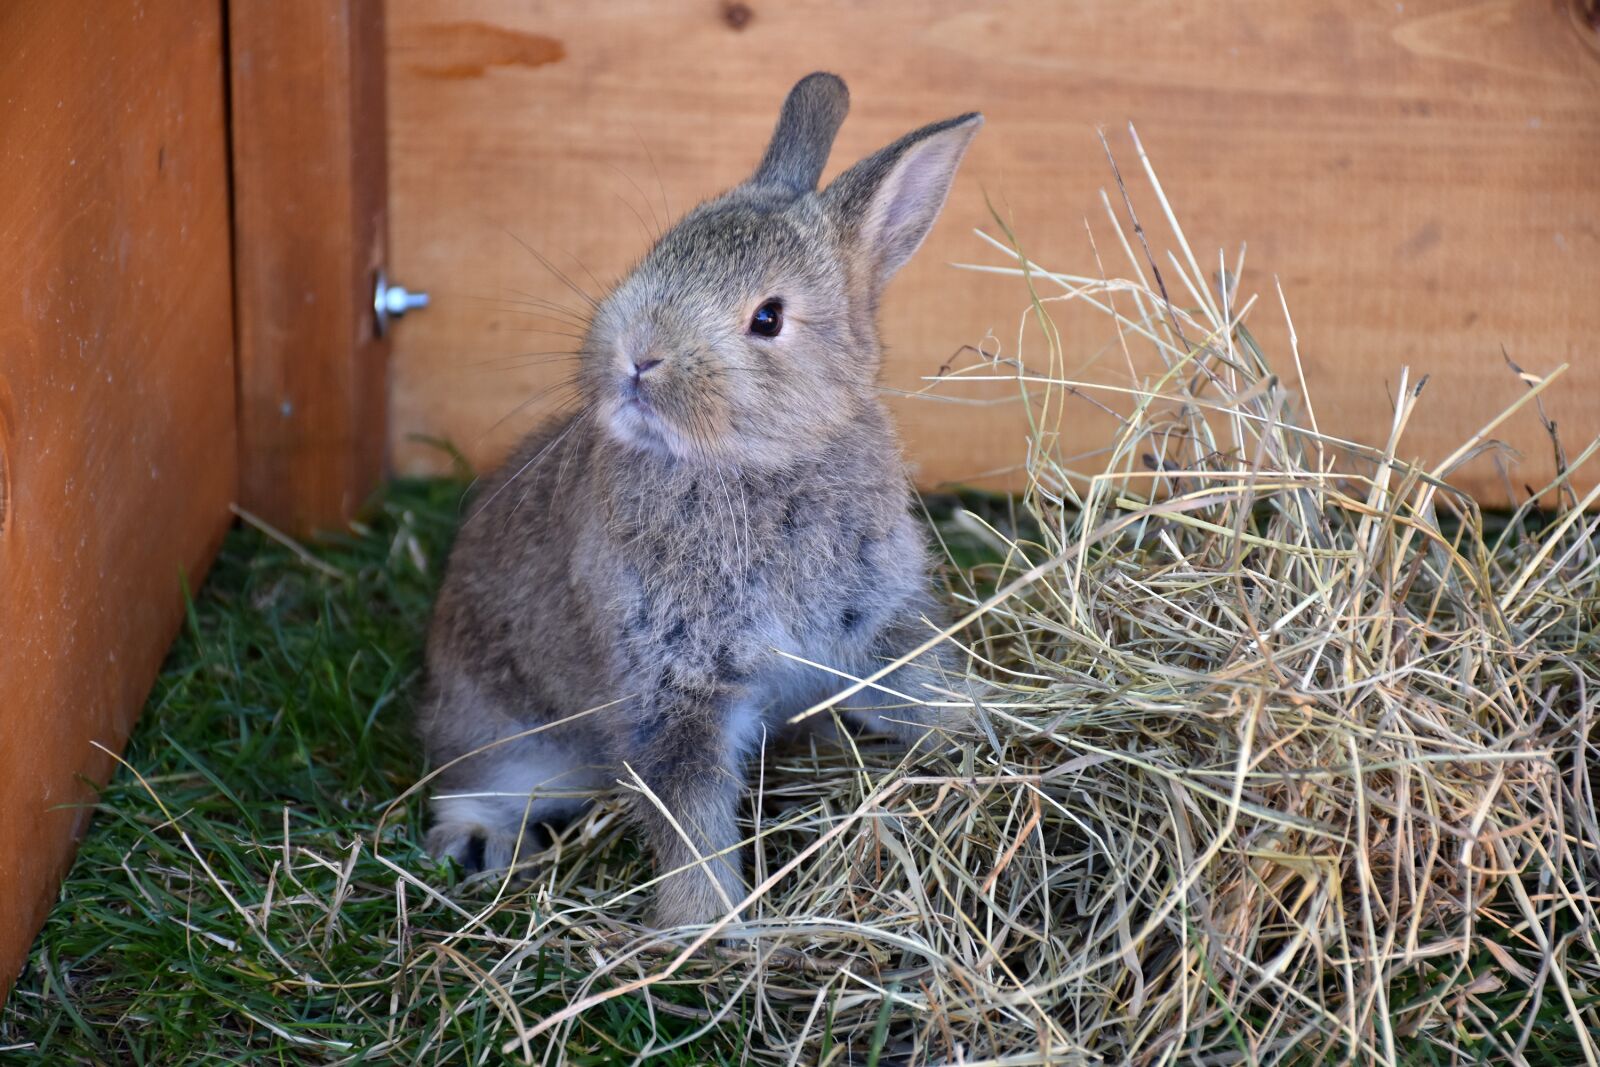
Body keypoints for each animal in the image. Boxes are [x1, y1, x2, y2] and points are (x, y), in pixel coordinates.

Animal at [418, 72, 982, 931]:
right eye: (661, 249)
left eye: (768, 318)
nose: (637, 356)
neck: (756, 464)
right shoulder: (670, 685)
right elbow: (689, 813)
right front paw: (710, 927)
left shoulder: (877, 624)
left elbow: (923, 693)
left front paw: (986, 732)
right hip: (498, 727)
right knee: (470, 779)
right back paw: (480, 844)